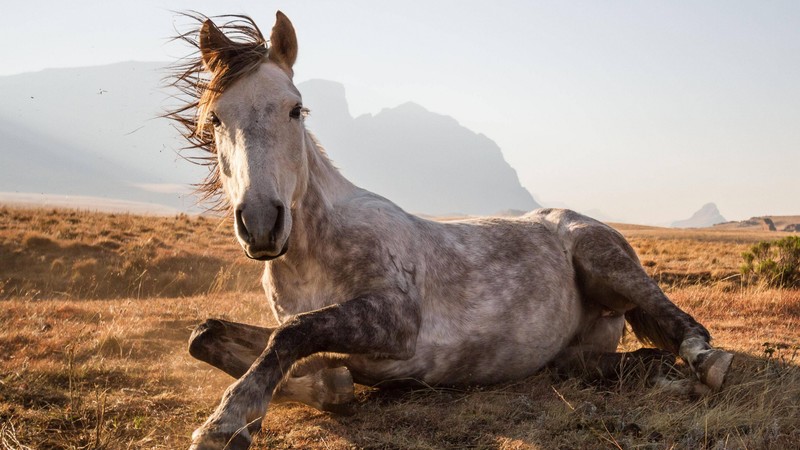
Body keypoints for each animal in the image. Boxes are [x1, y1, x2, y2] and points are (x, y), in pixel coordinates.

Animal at [167, 11, 733, 450]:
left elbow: (292, 333)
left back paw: (705, 363)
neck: (315, 250)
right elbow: (208, 335)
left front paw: (225, 420)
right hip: (572, 353)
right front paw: (324, 386)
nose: (262, 223)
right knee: (606, 363)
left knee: (681, 323)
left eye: (295, 109)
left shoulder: (396, 320)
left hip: (607, 260)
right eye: (215, 118)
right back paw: (656, 374)